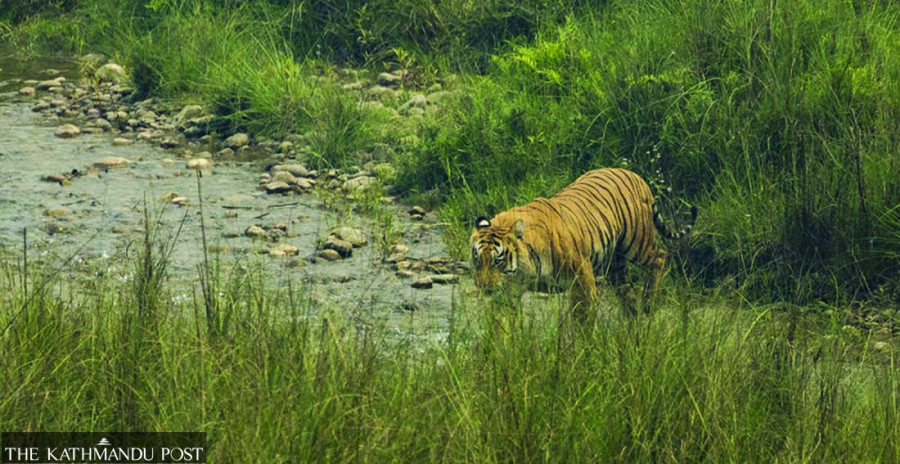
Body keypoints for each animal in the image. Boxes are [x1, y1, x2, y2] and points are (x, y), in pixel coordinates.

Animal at [470, 167, 697, 317]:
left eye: (498, 260)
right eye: (477, 259)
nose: (484, 288)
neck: (527, 268)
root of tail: (634, 175)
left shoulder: (582, 281)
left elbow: (583, 323)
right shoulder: (510, 290)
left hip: (637, 242)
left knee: (660, 258)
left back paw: (650, 303)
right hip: (616, 262)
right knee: (627, 289)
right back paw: (632, 317)